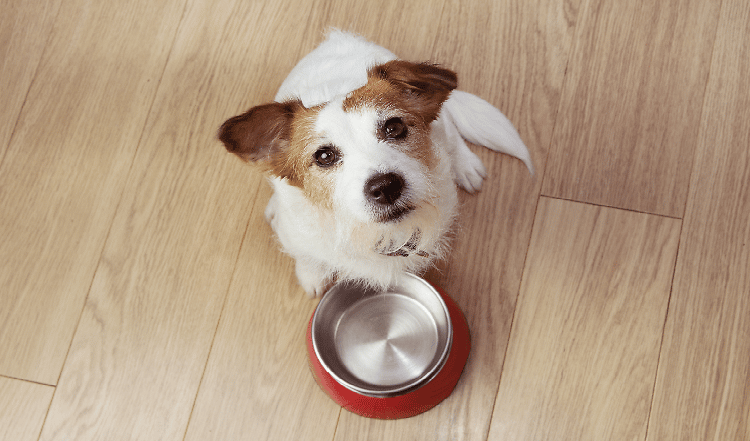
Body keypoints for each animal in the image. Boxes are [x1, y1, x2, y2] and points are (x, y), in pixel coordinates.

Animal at [219, 29, 536, 294]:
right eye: (324, 156)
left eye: (394, 127)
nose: (385, 187)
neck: (373, 234)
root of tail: (337, 38)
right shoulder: (298, 235)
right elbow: (307, 255)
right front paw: (311, 275)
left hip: (442, 124)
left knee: (452, 132)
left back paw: (466, 165)